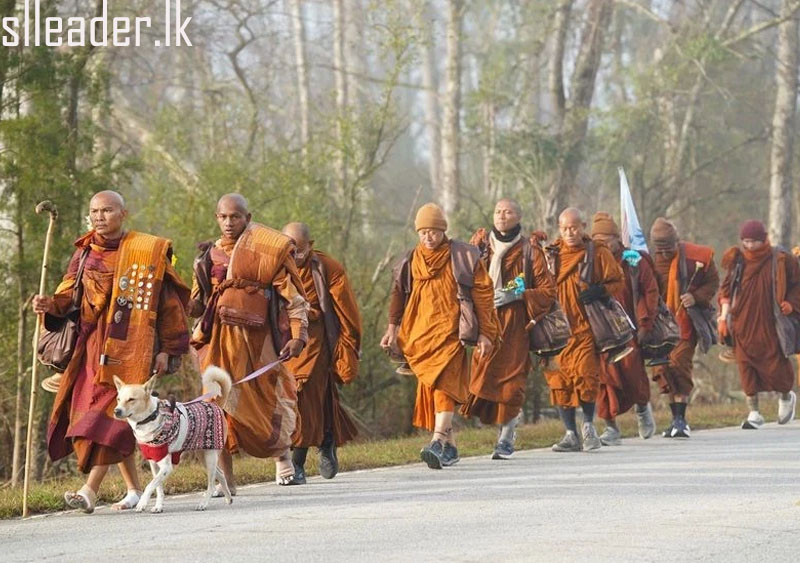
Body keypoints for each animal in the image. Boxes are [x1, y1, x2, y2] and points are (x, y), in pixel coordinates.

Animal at [113, 366, 234, 513]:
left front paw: (142, 503)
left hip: (210, 456)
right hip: (203, 456)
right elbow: (158, 488)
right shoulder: (154, 464)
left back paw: (204, 503)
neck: (150, 417)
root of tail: (216, 404)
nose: (116, 411)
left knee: (211, 484)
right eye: (118, 399)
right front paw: (158, 506)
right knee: (220, 474)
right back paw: (228, 497)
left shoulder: (166, 466)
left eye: (131, 399)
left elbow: (150, 485)